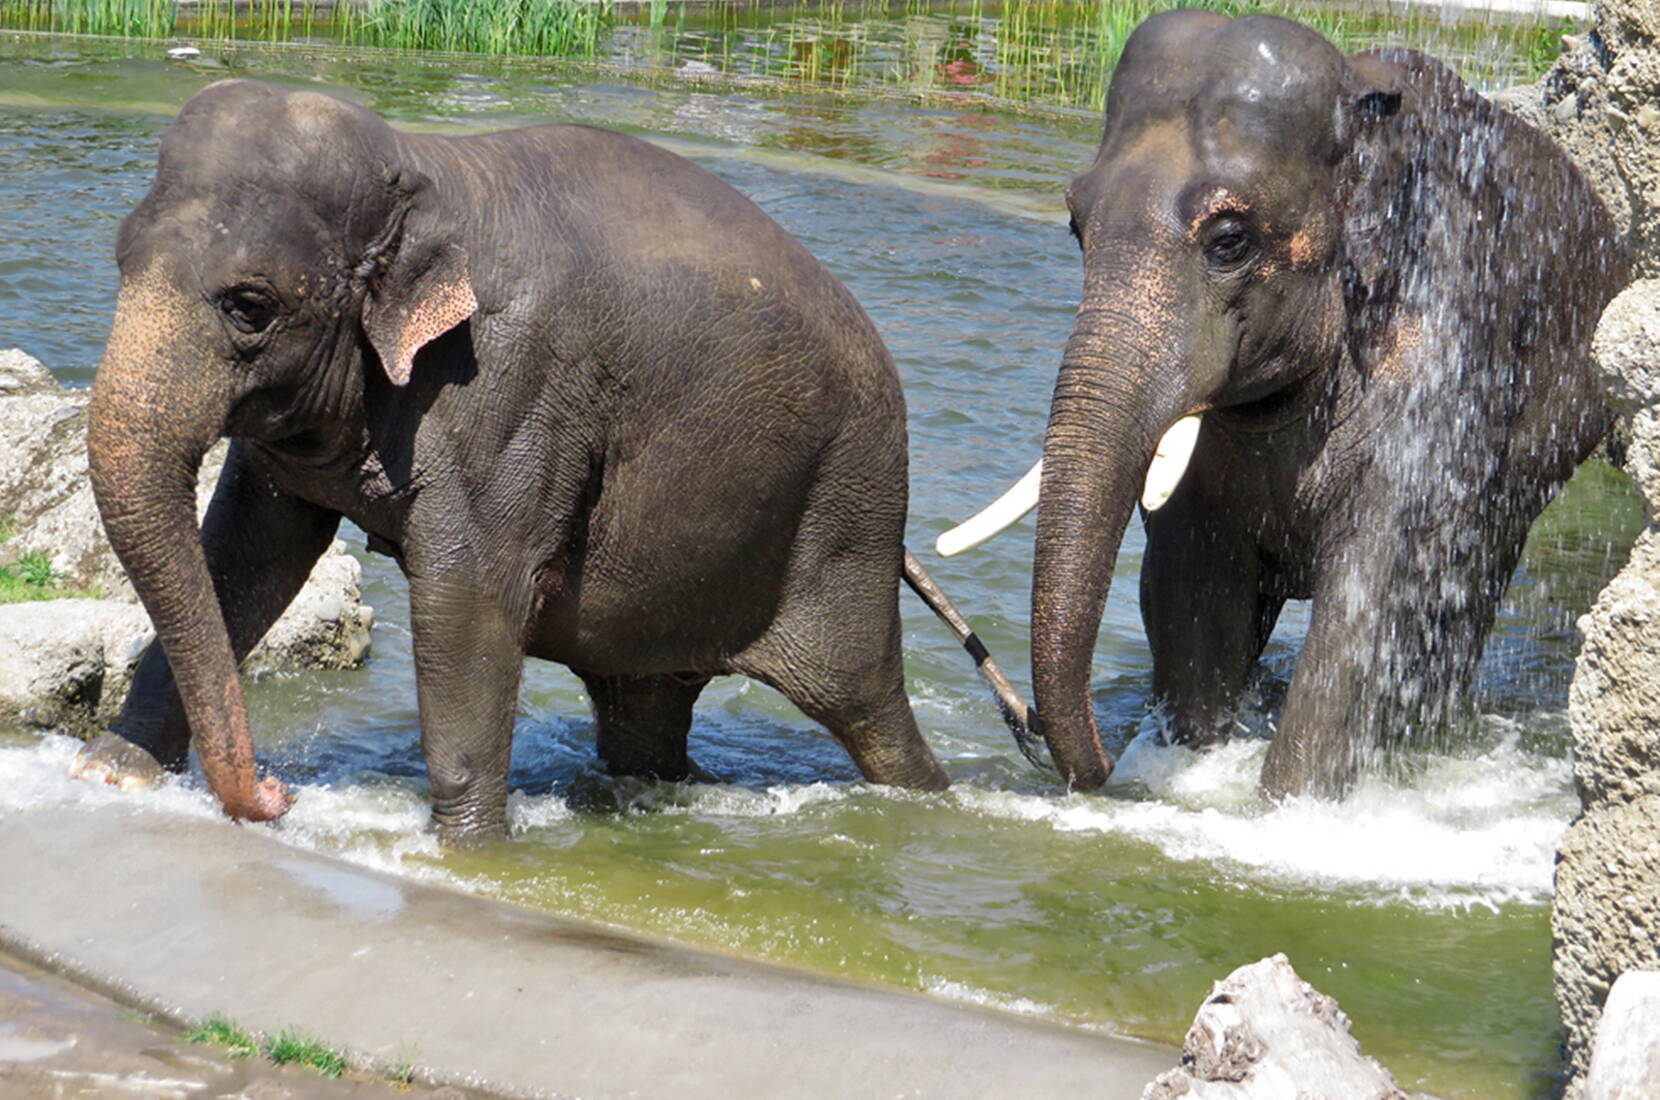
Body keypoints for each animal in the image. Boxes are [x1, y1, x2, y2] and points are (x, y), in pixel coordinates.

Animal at [78, 79, 1029, 842]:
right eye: (118, 258)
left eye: (250, 306)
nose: (278, 793)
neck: (421, 168)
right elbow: (244, 553)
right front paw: (111, 772)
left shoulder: (512, 386)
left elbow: (468, 597)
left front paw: (471, 850)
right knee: (646, 711)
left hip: (847, 508)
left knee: (865, 707)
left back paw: (924, 804)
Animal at [942, 10, 1626, 799]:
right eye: (1076, 224)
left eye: (1228, 240)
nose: (1100, 764)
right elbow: (1191, 591)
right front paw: (1186, 766)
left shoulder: (1450, 345)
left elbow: (1374, 602)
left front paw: (1291, 806)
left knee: (1461, 594)